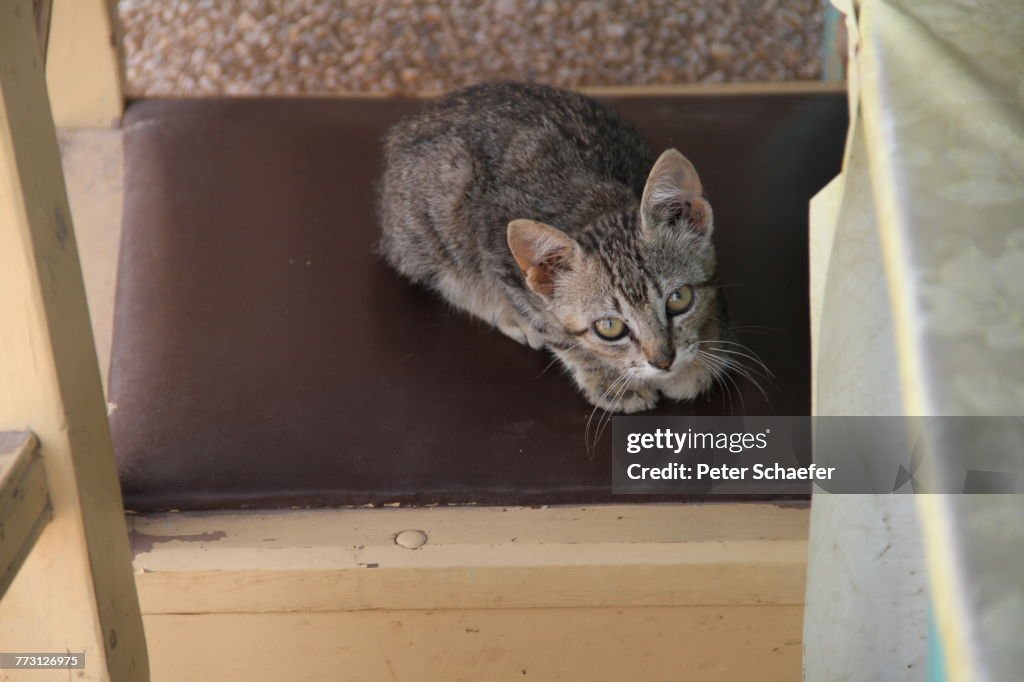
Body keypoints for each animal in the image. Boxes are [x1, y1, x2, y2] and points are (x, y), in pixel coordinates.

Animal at [380, 82, 724, 411]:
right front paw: (611, 380)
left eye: (679, 299)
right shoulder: (499, 257)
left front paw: (697, 357)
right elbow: (559, 333)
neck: (599, 205)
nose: (664, 362)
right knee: (446, 280)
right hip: (436, 222)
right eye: (609, 326)